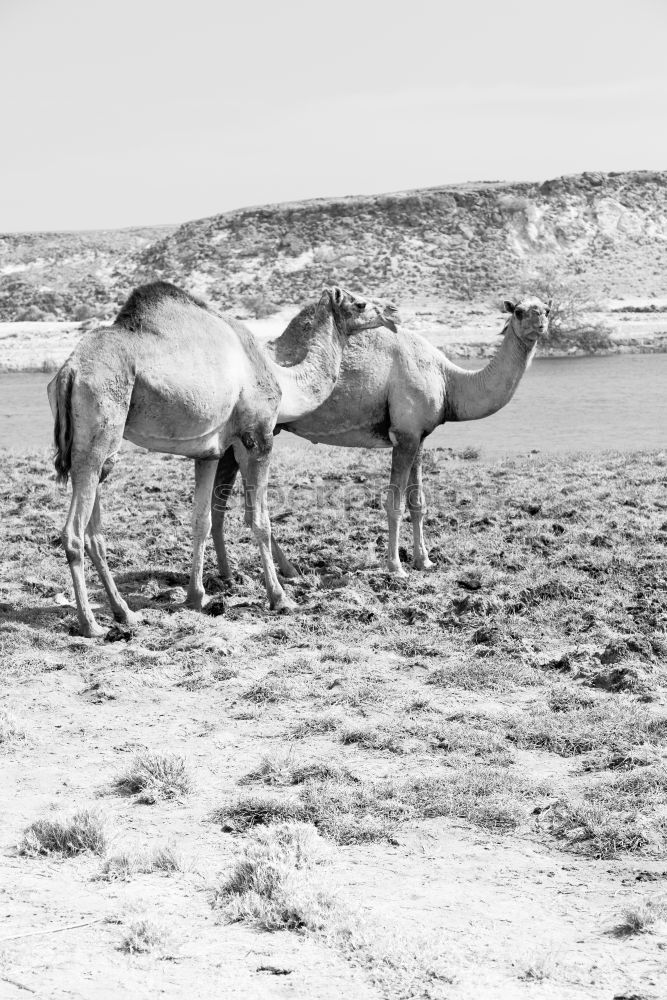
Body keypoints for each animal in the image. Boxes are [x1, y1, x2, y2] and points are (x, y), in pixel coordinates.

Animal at [49, 282, 400, 636]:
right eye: (360, 303)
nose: (393, 311)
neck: (280, 379)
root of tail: (69, 371)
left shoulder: (208, 452)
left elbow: (200, 521)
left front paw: (195, 597)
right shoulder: (257, 437)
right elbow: (259, 520)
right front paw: (280, 598)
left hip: (99, 449)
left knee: (95, 528)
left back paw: (124, 613)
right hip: (100, 422)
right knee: (74, 531)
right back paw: (91, 623)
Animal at [211, 292, 552, 584]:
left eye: (546, 309)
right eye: (519, 311)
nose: (541, 325)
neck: (448, 380)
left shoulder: (418, 436)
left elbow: (418, 502)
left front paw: (424, 561)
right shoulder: (404, 435)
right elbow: (395, 503)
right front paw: (396, 567)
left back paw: (250, 573)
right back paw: (267, 573)